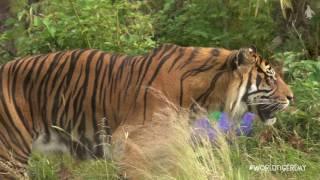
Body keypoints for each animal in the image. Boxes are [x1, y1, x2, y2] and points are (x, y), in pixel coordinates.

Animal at [0, 44, 292, 179]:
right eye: (270, 77)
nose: (292, 97)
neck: (206, 93)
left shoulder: (168, 146)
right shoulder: (134, 147)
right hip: (10, 156)